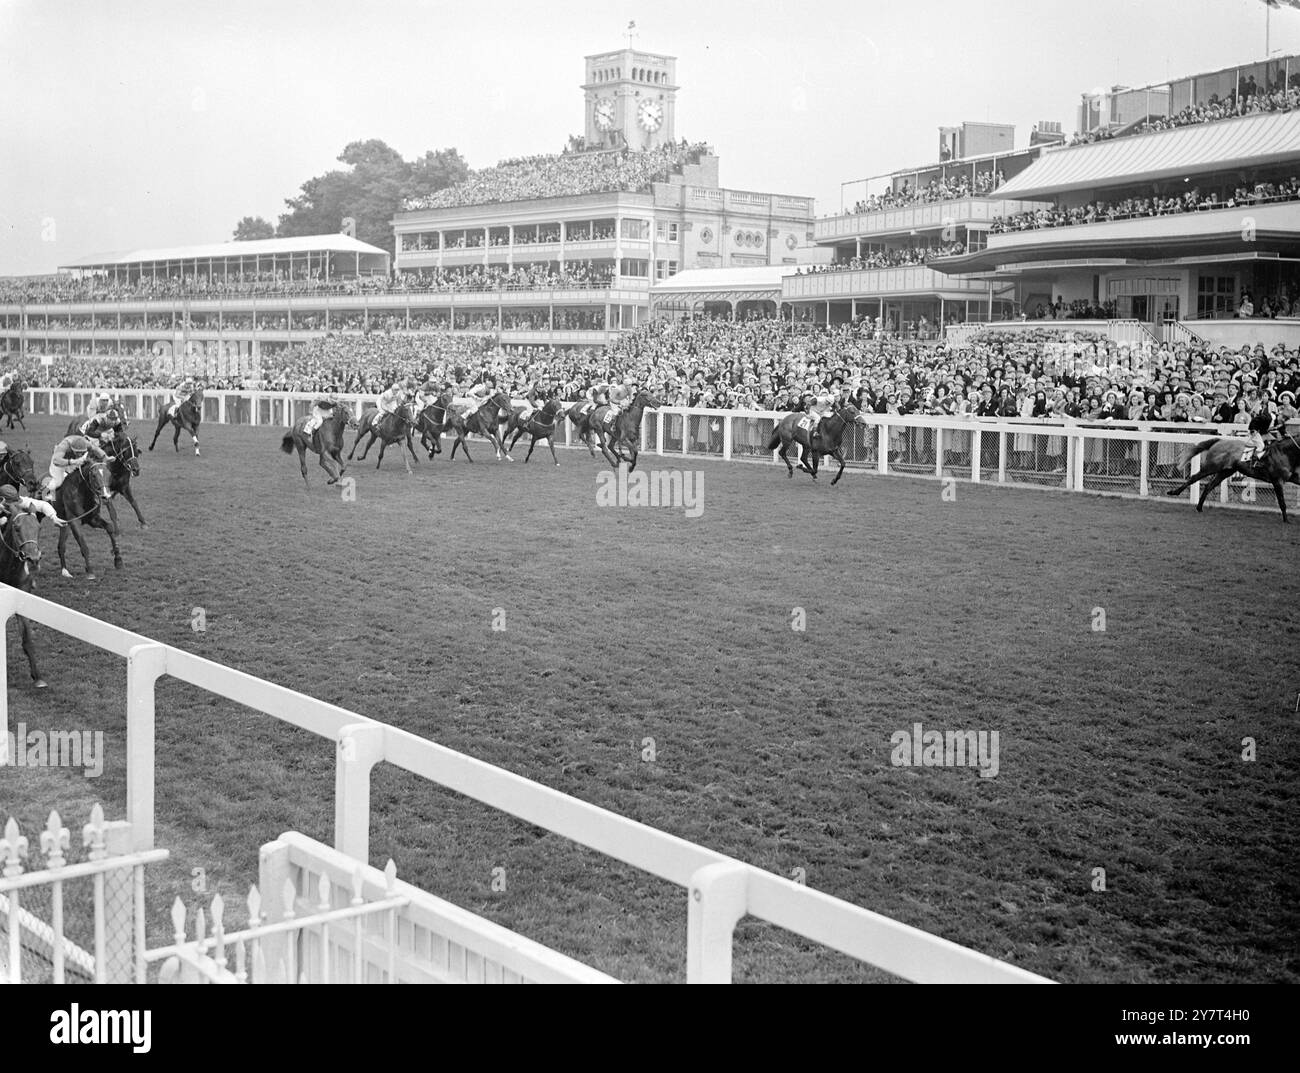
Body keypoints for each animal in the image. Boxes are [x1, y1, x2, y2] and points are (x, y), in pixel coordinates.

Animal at [1170, 431, 1300, 522]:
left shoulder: (1292, 477)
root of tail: (1219, 441)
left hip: (1225, 471)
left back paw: (1199, 507)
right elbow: (1282, 502)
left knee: (1209, 486)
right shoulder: (1277, 480)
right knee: (1194, 478)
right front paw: (1286, 520)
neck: (1284, 452)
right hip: (1211, 467)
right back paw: (1174, 492)